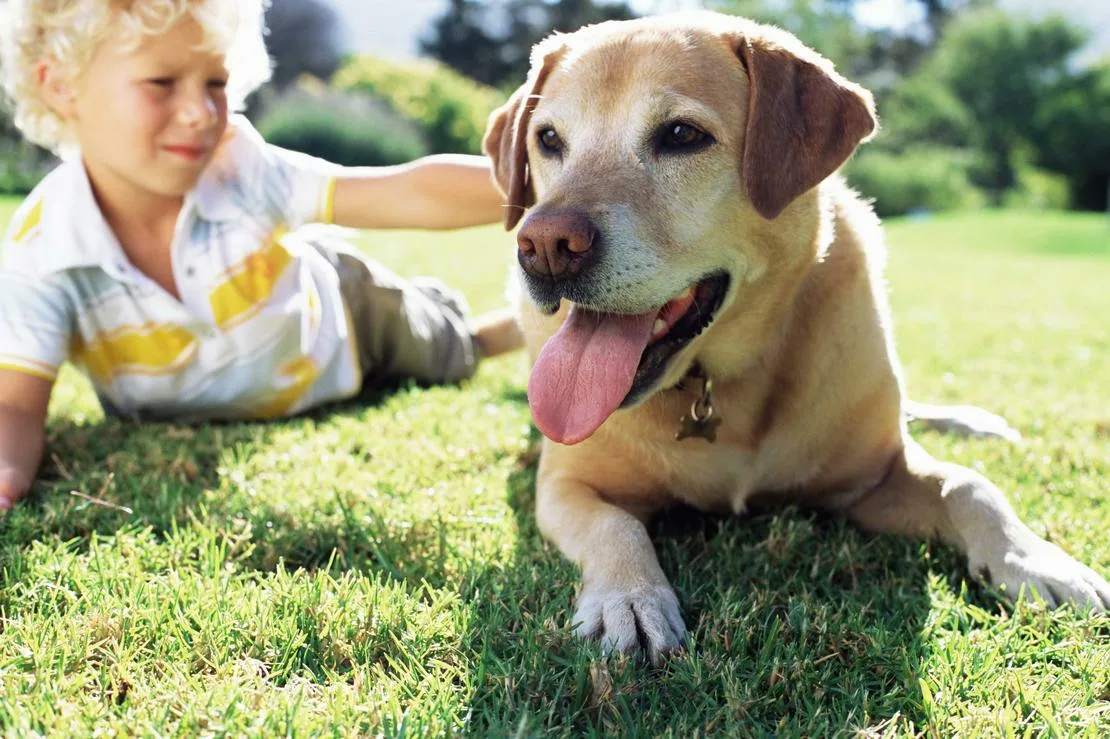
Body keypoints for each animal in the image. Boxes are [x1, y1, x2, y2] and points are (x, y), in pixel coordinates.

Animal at [479, 11, 1110, 656]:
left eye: (681, 134)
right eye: (548, 140)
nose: (544, 246)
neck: (720, 383)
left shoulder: (877, 478)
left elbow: (970, 486)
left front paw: (1037, 561)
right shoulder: (566, 484)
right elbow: (615, 524)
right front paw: (627, 598)